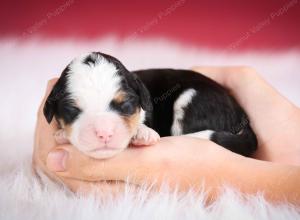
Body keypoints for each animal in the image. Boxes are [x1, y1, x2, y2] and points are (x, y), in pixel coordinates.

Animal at [32, 66, 300, 203]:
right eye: (72, 110)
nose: (104, 132)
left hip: (191, 99)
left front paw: (142, 134)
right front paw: (63, 134)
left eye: (125, 105)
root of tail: (241, 116)